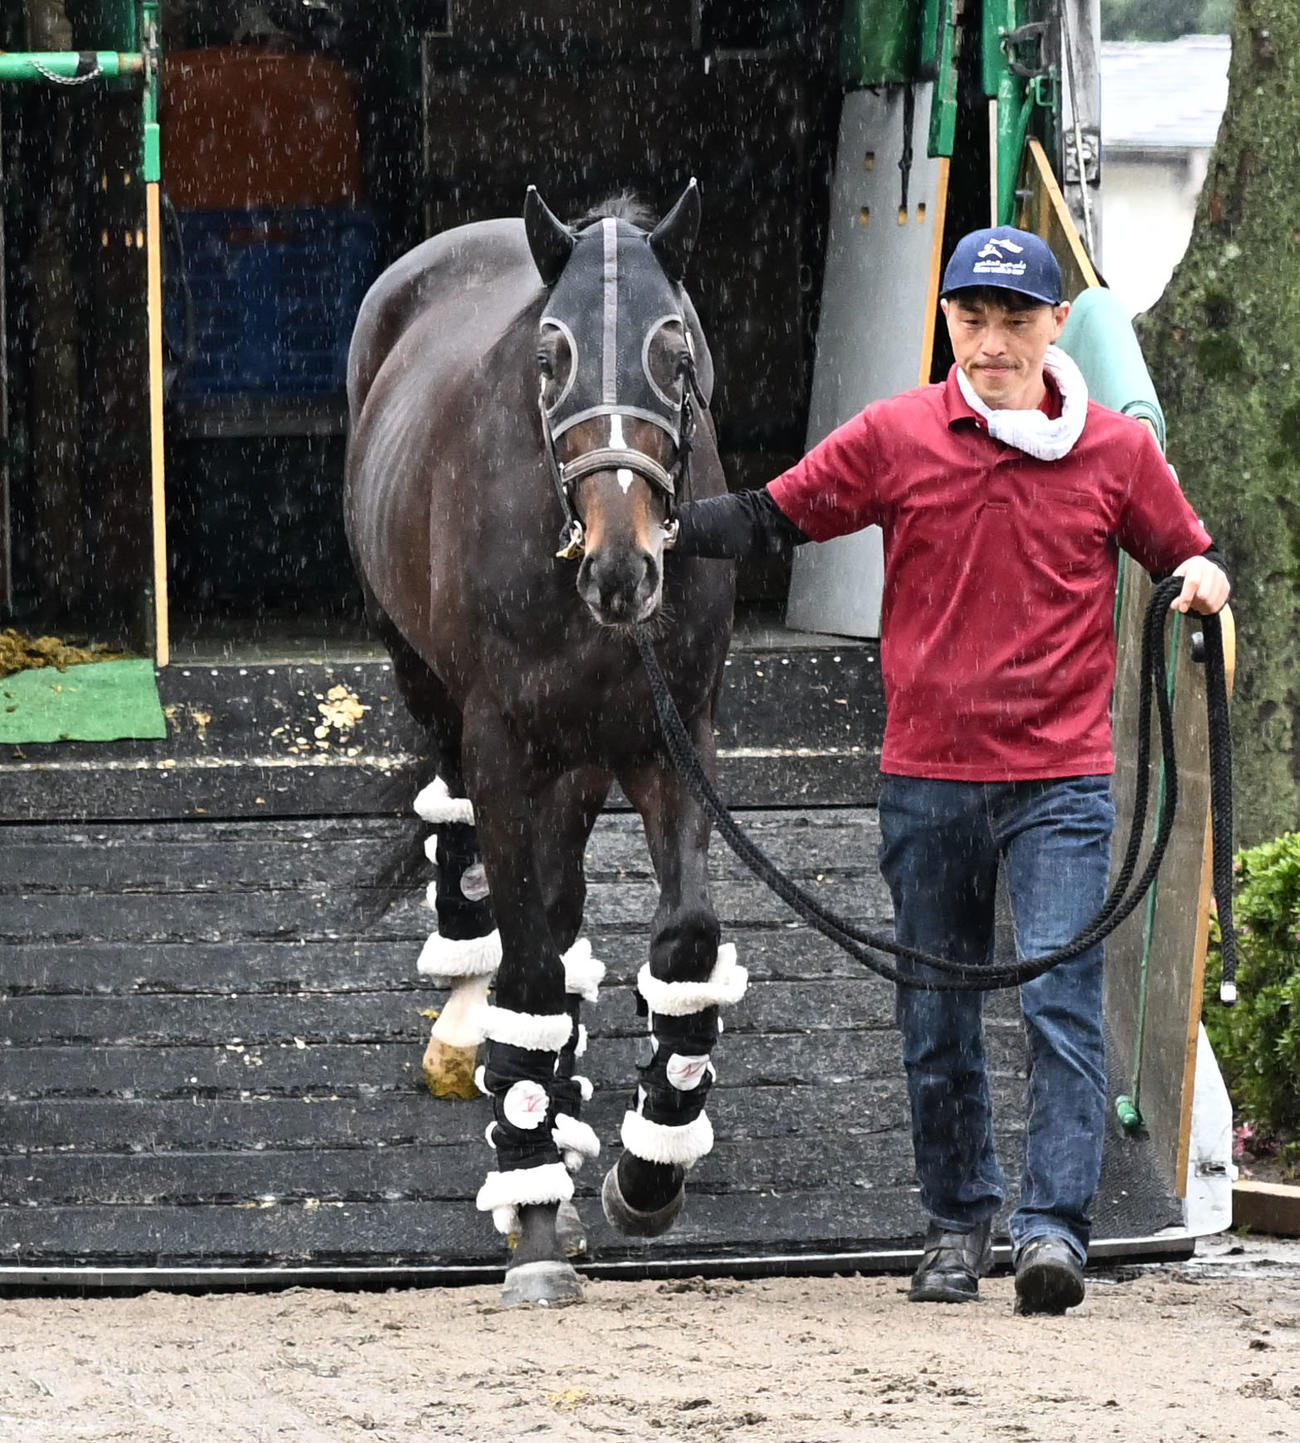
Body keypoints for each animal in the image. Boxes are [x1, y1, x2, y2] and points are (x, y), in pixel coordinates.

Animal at [344, 183, 741, 1306]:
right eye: (551, 352)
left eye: (677, 348)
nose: (623, 568)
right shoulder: (505, 744)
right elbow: (522, 965)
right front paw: (528, 1211)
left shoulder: (670, 738)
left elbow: (683, 942)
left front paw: (647, 1169)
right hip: (433, 691)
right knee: (481, 870)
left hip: (580, 760)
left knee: (562, 915)